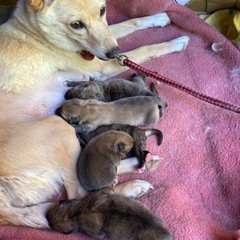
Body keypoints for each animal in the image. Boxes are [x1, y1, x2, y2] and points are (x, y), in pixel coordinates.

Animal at [0, 0, 189, 229]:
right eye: (76, 25)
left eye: (102, 10)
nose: (114, 52)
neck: (37, 32)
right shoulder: (102, 65)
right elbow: (145, 48)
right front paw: (176, 42)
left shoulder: (105, 39)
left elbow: (128, 23)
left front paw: (158, 18)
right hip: (59, 129)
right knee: (84, 193)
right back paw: (133, 185)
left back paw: (139, 164)